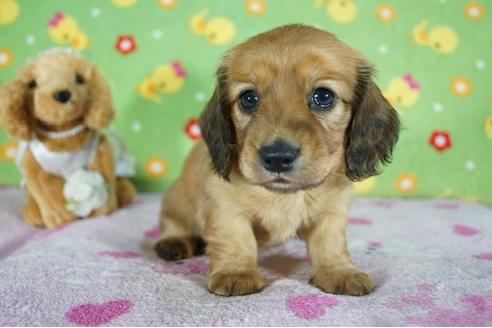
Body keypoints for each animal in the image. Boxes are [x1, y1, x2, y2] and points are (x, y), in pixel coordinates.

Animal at [155, 25, 400, 298]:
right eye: (248, 98)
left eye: (323, 96)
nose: (277, 158)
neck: (284, 195)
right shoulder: (224, 207)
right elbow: (236, 239)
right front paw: (236, 272)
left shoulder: (332, 212)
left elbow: (330, 244)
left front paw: (339, 272)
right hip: (175, 200)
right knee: (174, 224)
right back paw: (174, 243)